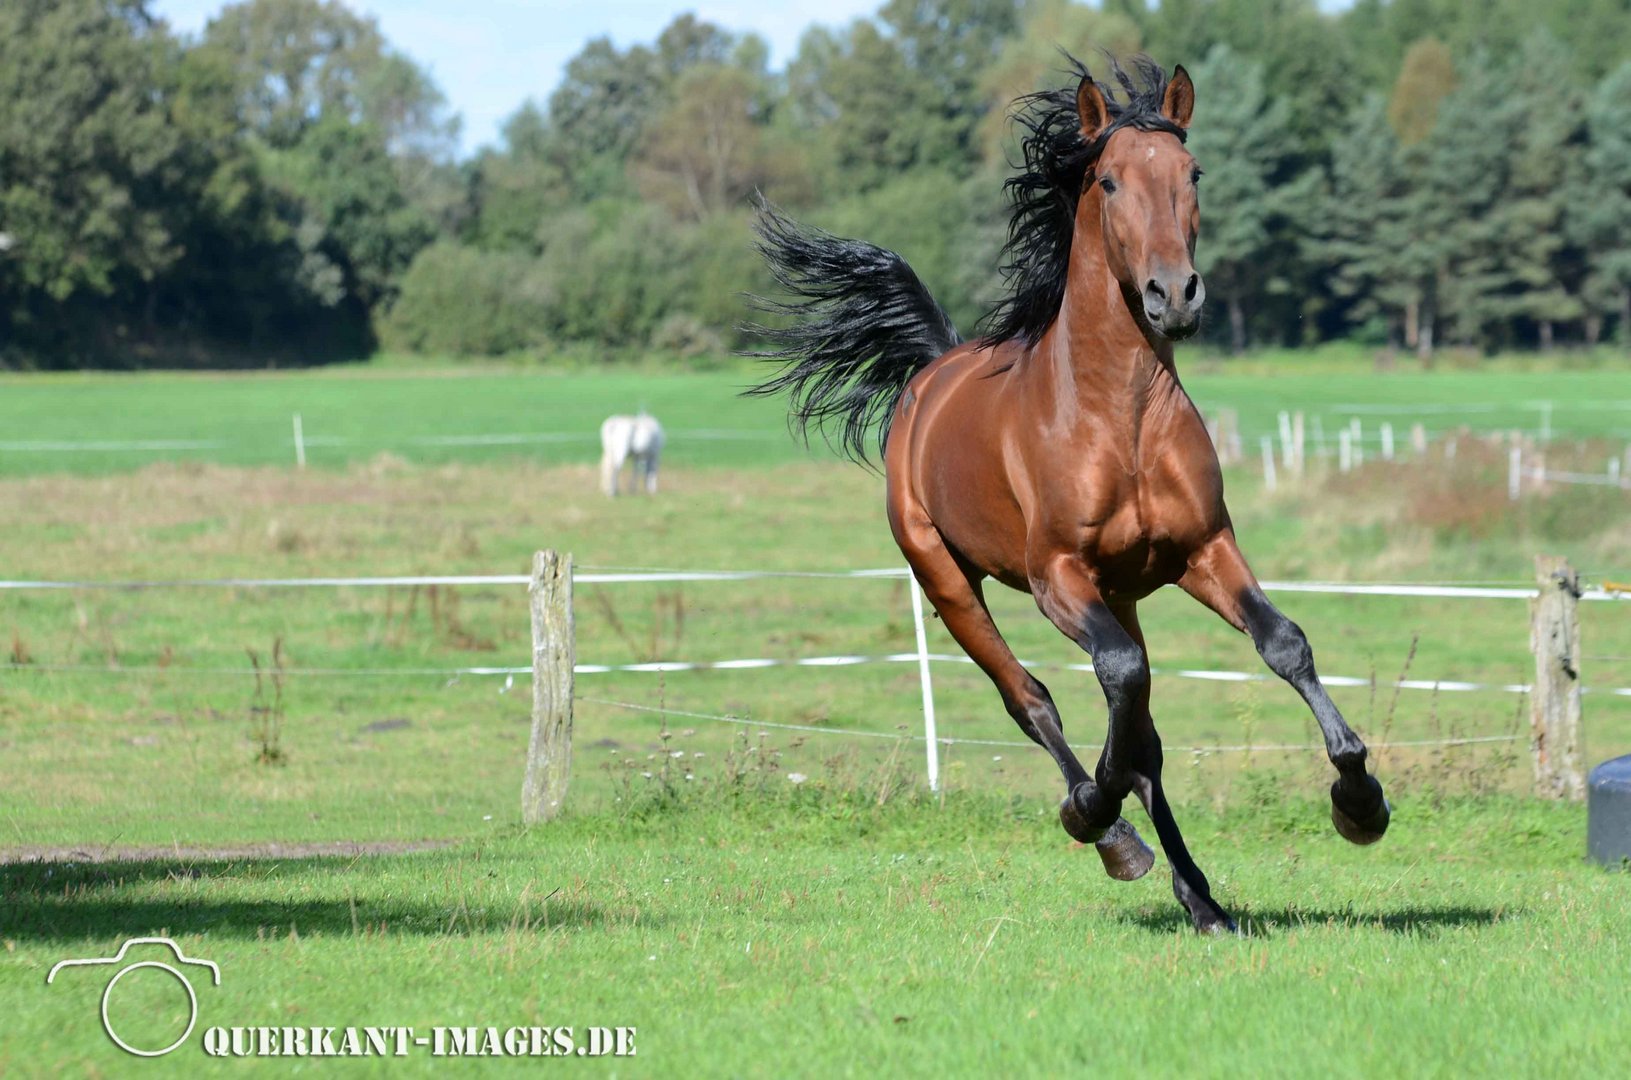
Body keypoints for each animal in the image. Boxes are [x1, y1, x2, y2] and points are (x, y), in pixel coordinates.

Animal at [750, 61, 1389, 939]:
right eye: (1108, 179)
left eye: (1192, 173)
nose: (1173, 296)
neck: (1118, 418)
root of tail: (930, 375)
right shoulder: (1057, 577)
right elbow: (1114, 686)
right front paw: (1091, 806)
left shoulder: (1203, 550)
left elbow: (1282, 644)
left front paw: (1359, 800)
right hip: (948, 581)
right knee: (1033, 699)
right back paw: (1109, 832)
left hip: (1120, 594)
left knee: (1140, 725)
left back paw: (1201, 898)